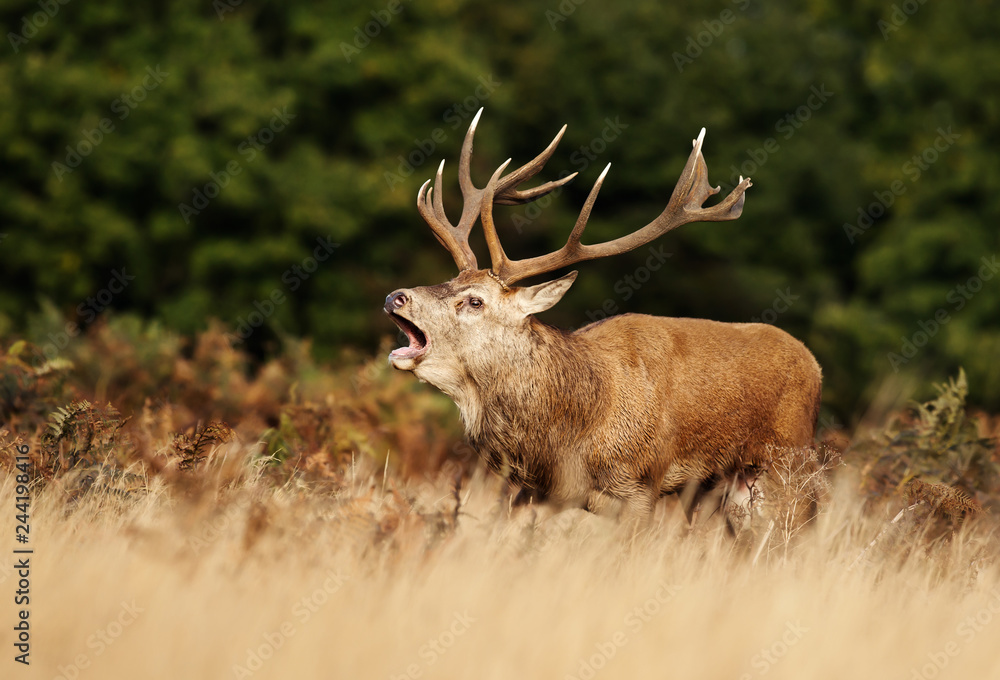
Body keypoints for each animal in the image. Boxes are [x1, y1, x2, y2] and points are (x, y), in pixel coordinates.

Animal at [384, 109, 822, 530]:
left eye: (475, 301)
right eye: (450, 279)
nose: (395, 296)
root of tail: (814, 365)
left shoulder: (641, 484)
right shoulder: (538, 493)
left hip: (789, 466)